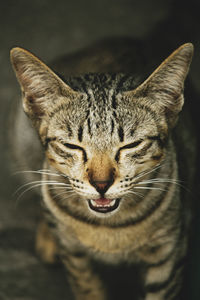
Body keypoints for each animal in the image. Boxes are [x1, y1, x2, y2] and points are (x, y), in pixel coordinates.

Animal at [10, 38, 196, 298]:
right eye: (71, 146)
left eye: (131, 145)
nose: (101, 184)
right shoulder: (75, 257)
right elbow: (87, 287)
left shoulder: (169, 254)